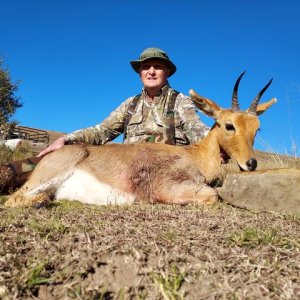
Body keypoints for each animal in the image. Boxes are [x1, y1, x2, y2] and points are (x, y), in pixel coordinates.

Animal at [4, 72, 276, 209]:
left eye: (257, 129)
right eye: (229, 125)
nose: (251, 163)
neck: (195, 157)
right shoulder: (168, 186)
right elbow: (213, 195)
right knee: (12, 200)